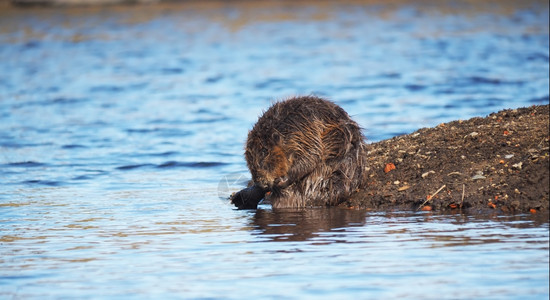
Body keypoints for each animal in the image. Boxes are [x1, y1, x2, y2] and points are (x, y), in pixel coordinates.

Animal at [231, 96, 368, 209]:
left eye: (265, 154)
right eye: (250, 166)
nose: (263, 184)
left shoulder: (304, 132)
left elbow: (312, 156)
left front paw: (281, 181)